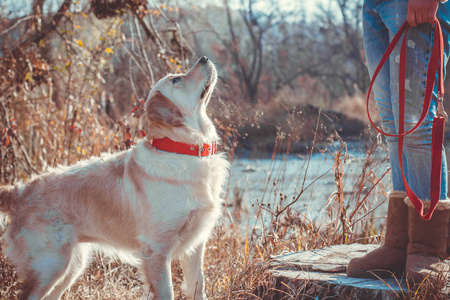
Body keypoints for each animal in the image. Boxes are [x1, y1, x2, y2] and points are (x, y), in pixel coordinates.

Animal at [0, 56, 229, 300]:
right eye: (176, 79)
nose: (204, 58)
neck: (182, 150)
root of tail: (20, 191)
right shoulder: (156, 250)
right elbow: (167, 292)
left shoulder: (195, 247)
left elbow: (199, 286)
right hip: (50, 265)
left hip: (72, 265)